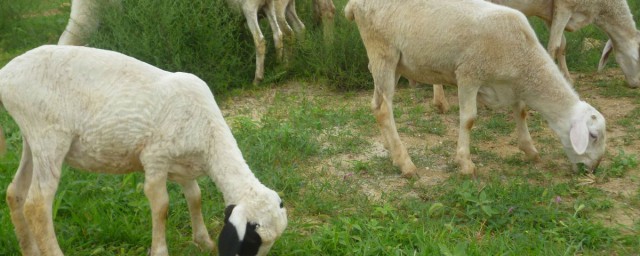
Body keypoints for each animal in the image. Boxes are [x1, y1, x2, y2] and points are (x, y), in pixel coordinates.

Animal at [0, 45, 288, 255]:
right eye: (250, 242)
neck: (209, 135)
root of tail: (6, 73)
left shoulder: (183, 167)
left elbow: (195, 197)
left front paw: (203, 241)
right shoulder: (155, 158)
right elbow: (161, 206)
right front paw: (160, 250)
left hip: (32, 138)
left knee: (15, 192)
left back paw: (29, 250)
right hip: (50, 136)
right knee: (37, 204)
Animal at [57, 0, 304, 86]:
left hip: (252, 6)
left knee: (264, 38)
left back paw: (260, 77)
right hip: (269, 6)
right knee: (282, 34)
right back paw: (281, 66)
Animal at [348, 0, 608, 177]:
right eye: (593, 136)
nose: (594, 168)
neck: (525, 59)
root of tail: (354, 4)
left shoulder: (510, 85)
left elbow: (522, 111)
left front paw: (529, 149)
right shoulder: (469, 74)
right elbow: (469, 119)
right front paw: (465, 163)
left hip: (394, 63)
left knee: (377, 106)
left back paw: (392, 151)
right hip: (383, 52)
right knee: (383, 109)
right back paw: (405, 163)